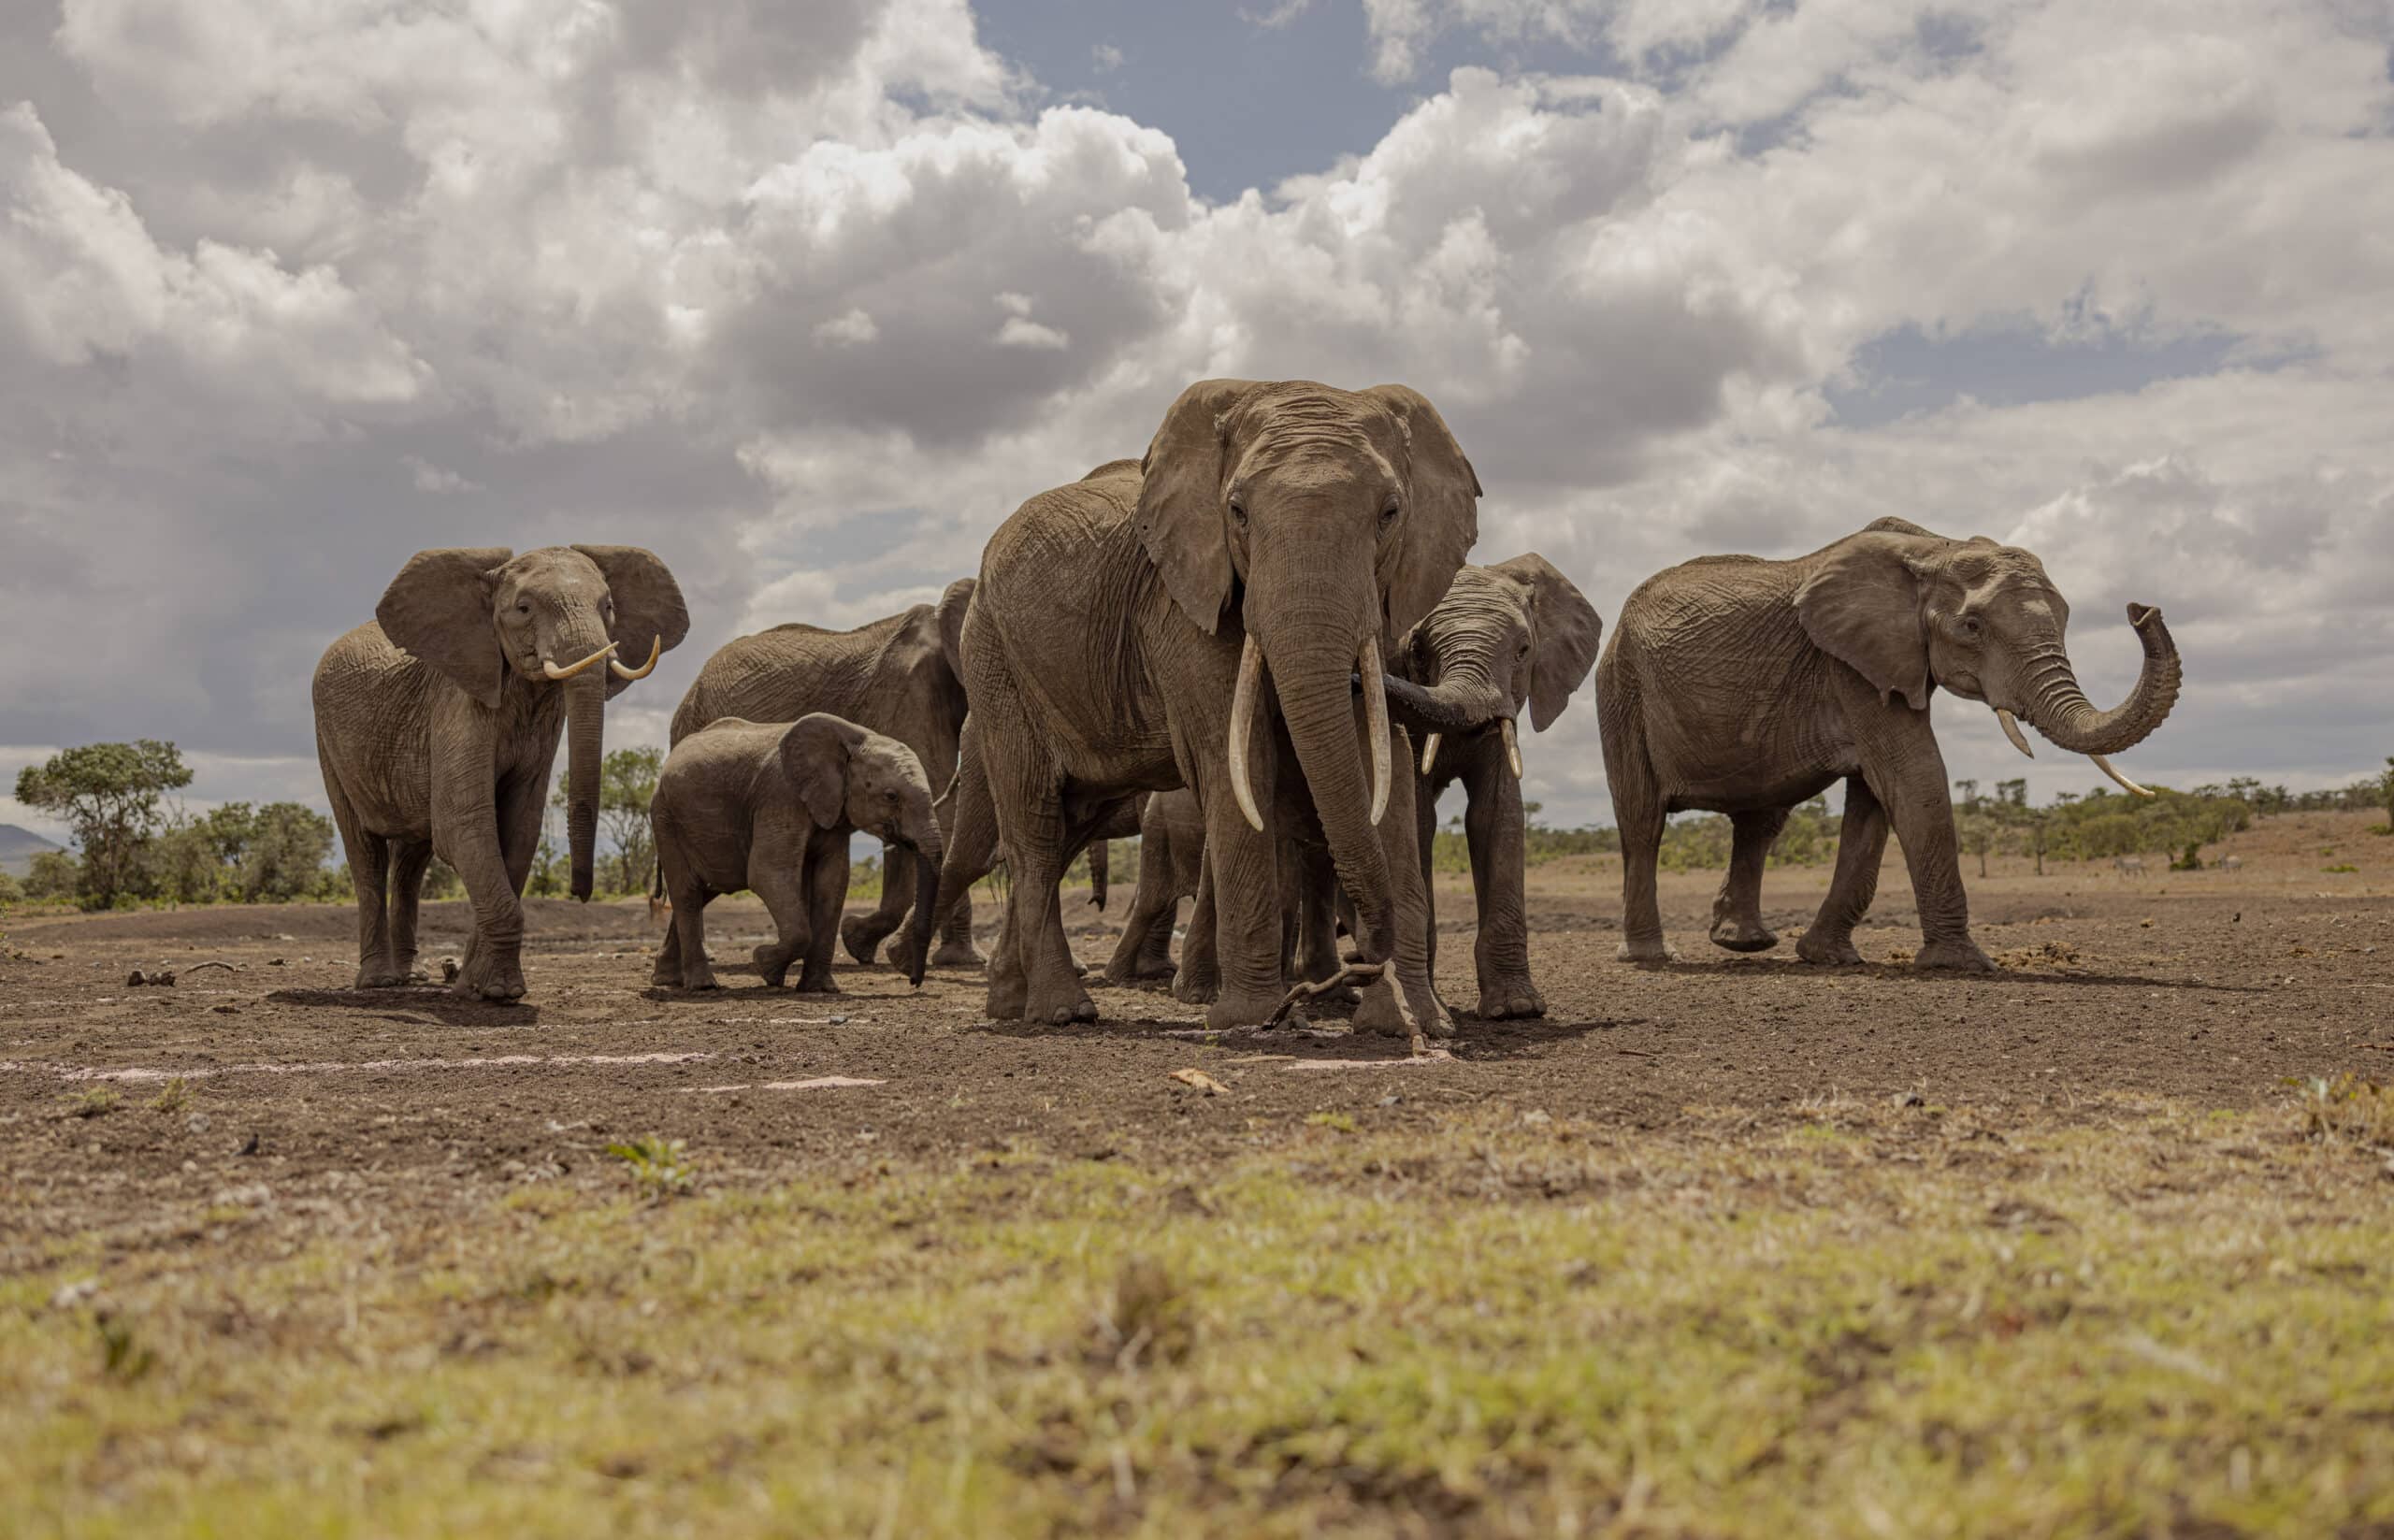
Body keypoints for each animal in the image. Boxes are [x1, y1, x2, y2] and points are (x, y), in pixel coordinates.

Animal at [313, 548, 689, 1005]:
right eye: (524, 609)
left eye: (609, 606)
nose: (580, 892)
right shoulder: (458, 703)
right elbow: (463, 826)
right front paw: (499, 991)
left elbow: (519, 830)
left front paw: (475, 985)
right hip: (328, 742)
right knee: (365, 852)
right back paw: (379, 982)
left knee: (411, 857)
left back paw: (412, 977)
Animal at [656, 718, 952, 996]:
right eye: (891, 796)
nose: (914, 982)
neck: (854, 737)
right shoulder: (780, 797)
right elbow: (768, 873)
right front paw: (765, 966)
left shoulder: (831, 812)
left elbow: (833, 882)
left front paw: (819, 988)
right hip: (666, 819)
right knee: (687, 892)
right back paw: (702, 986)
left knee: (706, 889)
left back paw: (667, 979)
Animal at [1599, 517, 2183, 977]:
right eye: (1972, 627)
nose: (2142, 610)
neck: (1935, 548)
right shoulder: (1850, 664)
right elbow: (1914, 776)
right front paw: (1964, 965)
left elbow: (1876, 798)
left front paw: (1827, 957)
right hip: (1622, 687)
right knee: (1643, 821)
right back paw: (1653, 956)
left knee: (1761, 820)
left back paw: (1746, 944)